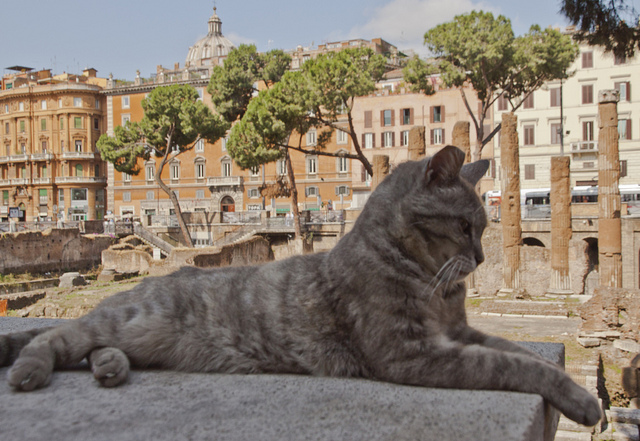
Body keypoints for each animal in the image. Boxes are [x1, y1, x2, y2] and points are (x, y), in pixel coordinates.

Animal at [0, 146, 600, 424]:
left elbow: (515, 348)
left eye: (483, 226)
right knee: (55, 337)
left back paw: (109, 367)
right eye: (465, 226)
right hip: (122, 321)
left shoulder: (460, 334)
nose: (479, 256)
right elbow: (509, 365)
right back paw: (33, 369)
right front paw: (579, 398)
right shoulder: (414, 353)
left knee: (91, 347)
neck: (432, 283)